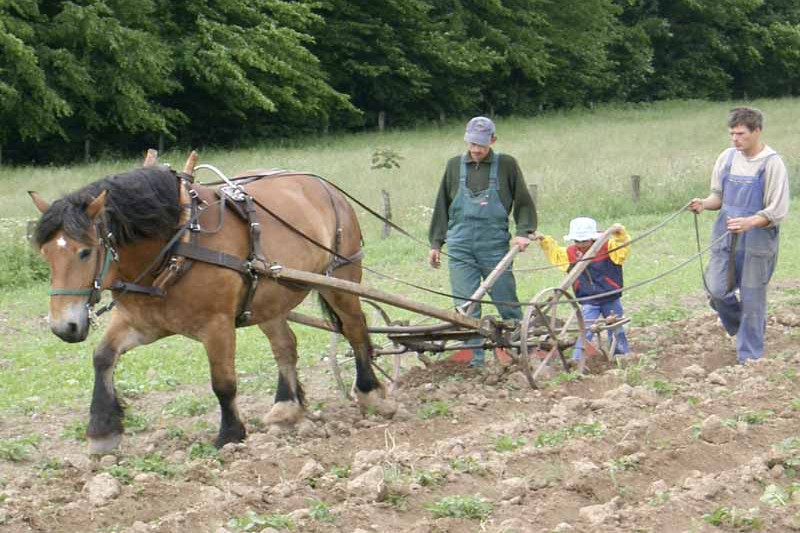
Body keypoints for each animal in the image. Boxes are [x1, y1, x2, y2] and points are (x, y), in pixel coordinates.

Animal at [29, 157, 396, 454]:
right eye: (46, 254)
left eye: (85, 252)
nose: (63, 327)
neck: (177, 243)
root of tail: (325, 187)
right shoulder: (141, 322)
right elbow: (103, 357)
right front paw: (102, 431)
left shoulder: (217, 325)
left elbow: (223, 382)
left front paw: (230, 435)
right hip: (269, 298)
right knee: (286, 346)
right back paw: (286, 407)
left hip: (340, 278)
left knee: (355, 328)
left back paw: (370, 393)